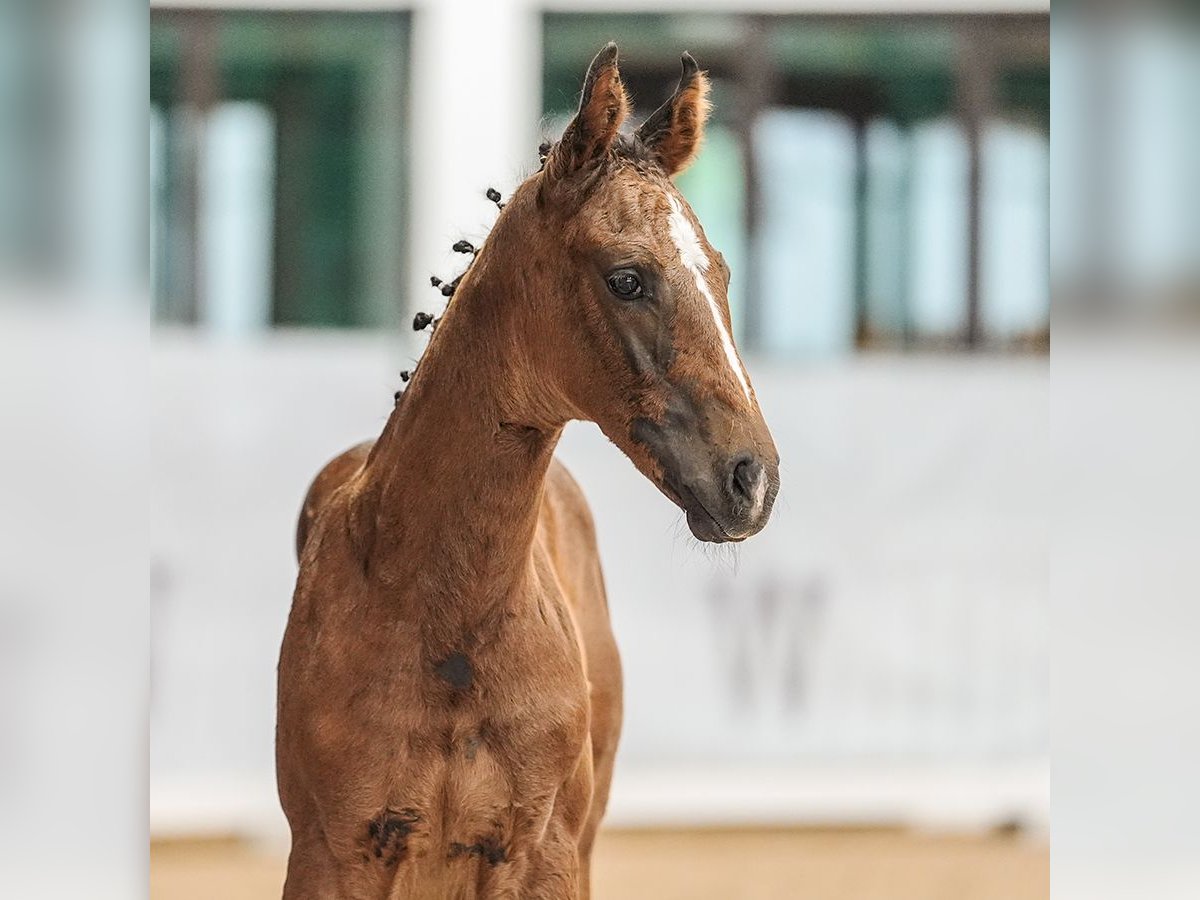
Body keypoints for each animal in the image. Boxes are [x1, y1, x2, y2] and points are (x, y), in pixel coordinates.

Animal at [276, 45, 777, 897]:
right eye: (627, 278)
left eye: (721, 274)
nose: (753, 478)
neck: (446, 622)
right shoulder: (330, 854)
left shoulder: (544, 854)